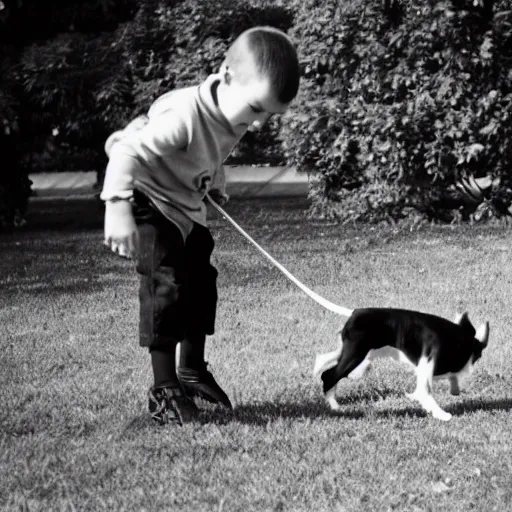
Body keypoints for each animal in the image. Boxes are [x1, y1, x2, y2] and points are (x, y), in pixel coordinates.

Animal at [314, 308, 490, 420]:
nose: (456, 391)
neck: (454, 338)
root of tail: (354, 313)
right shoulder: (427, 362)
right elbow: (425, 390)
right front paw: (441, 414)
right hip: (355, 354)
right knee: (330, 375)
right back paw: (335, 407)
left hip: (358, 352)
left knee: (327, 364)